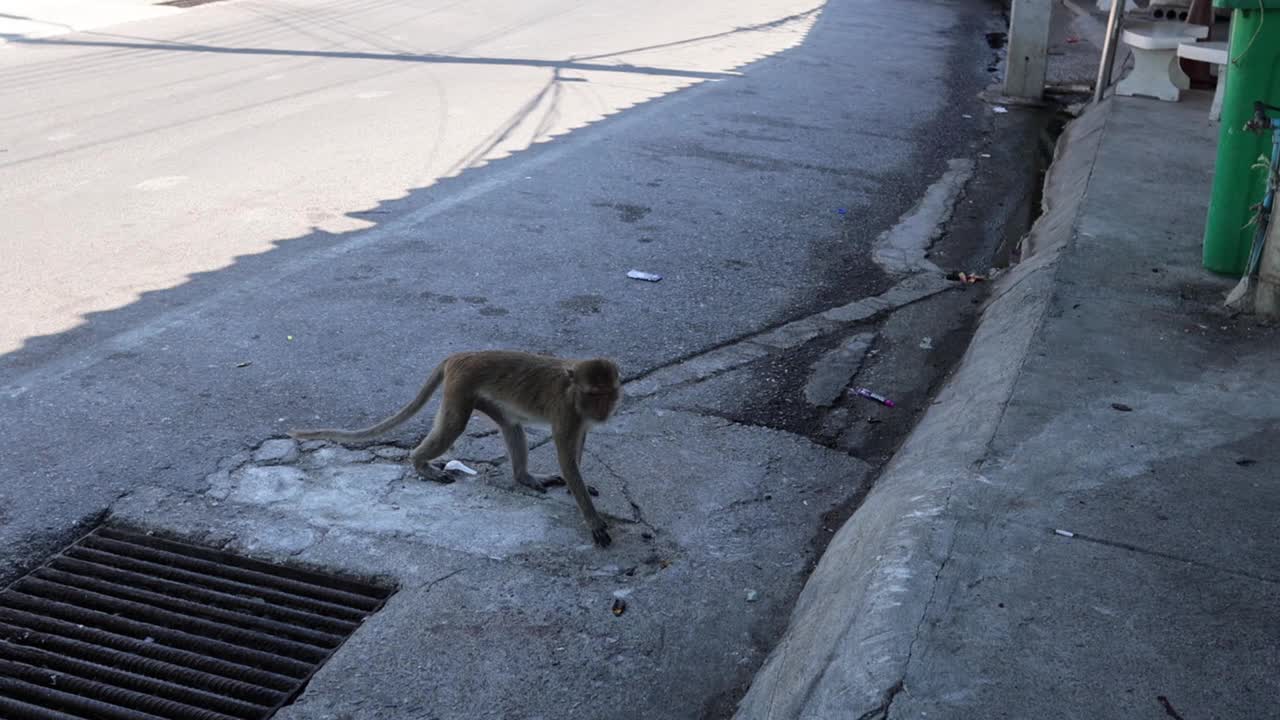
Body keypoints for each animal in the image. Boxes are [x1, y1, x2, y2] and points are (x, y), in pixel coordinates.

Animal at [291, 348, 629, 543]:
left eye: (609, 393)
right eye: (594, 394)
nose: (605, 410)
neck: (573, 393)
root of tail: (460, 356)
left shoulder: (579, 420)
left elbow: (577, 448)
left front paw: (578, 488)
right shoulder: (566, 413)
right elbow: (566, 458)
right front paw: (592, 517)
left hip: (482, 396)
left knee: (510, 425)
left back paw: (523, 476)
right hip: (461, 387)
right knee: (453, 426)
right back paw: (420, 463)